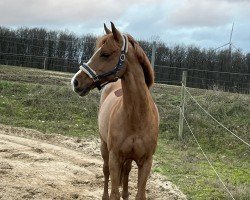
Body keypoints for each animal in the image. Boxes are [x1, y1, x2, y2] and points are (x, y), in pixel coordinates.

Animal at [71, 22, 159, 199]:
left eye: (105, 54)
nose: (76, 81)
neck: (137, 118)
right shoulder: (115, 158)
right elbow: (114, 192)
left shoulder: (146, 162)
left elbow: (140, 194)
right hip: (104, 147)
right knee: (106, 172)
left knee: (126, 173)